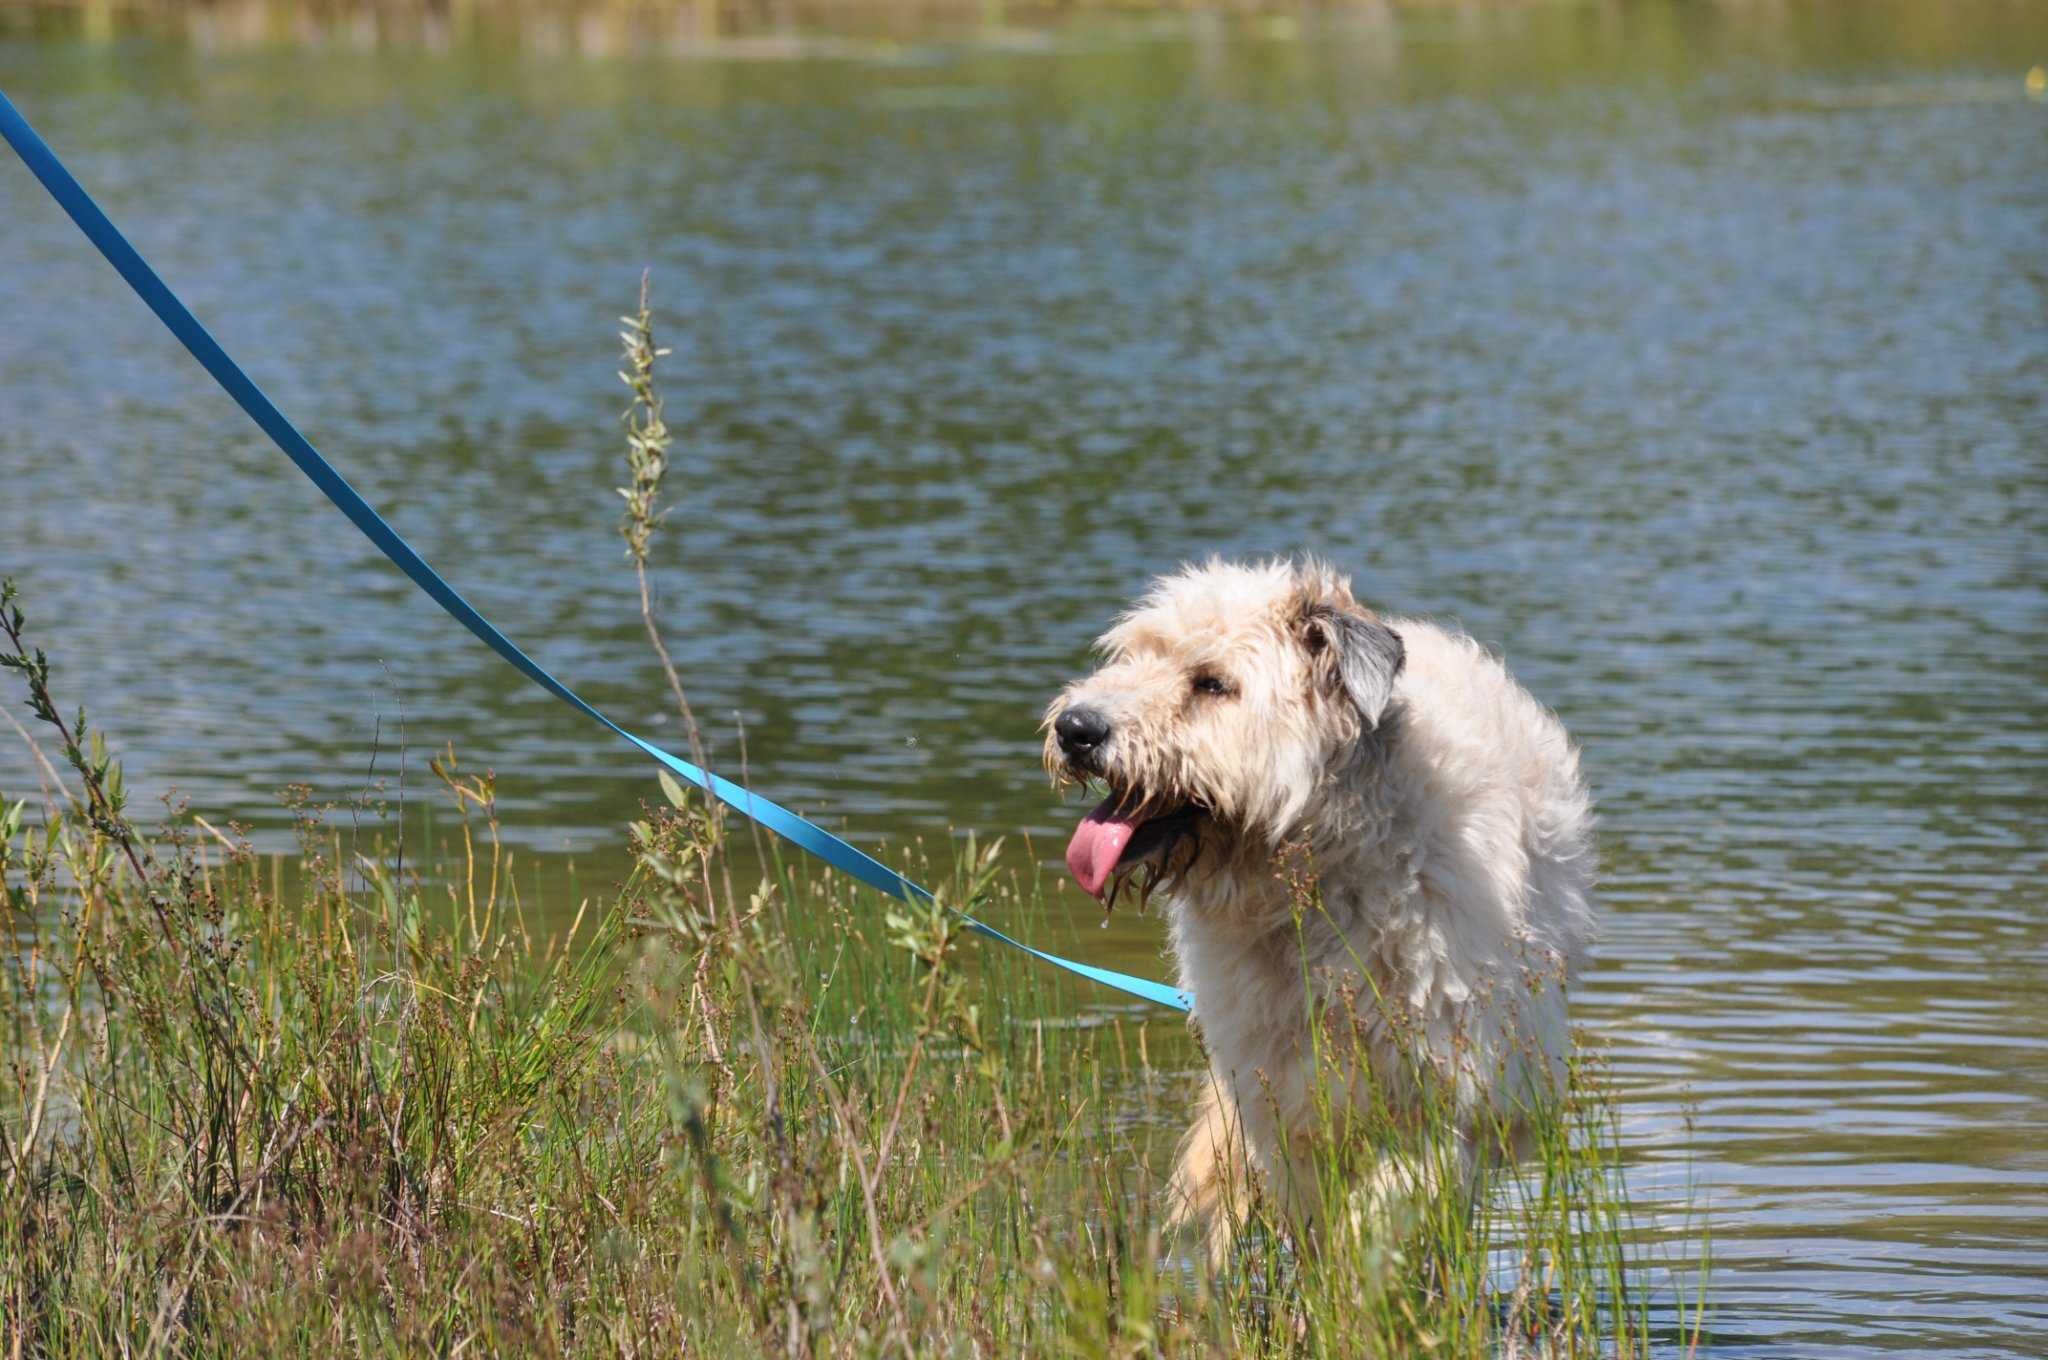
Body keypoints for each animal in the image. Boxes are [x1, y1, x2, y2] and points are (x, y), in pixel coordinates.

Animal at [1040, 557, 1597, 1261]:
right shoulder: (1280, 1100)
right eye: (1132, 658)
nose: (1076, 729)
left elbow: (1390, 1209)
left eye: (1212, 683)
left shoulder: (1445, 1097)